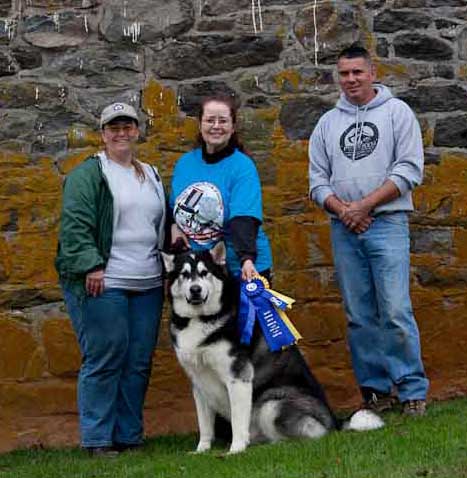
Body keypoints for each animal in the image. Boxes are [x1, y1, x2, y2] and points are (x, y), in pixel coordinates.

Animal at [163, 245, 382, 454]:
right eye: (184, 274)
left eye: (204, 272)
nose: (195, 289)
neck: (200, 319)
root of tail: (335, 421)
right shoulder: (199, 382)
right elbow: (205, 425)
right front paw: (202, 450)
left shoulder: (238, 377)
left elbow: (237, 421)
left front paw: (236, 449)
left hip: (272, 404)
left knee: (314, 434)